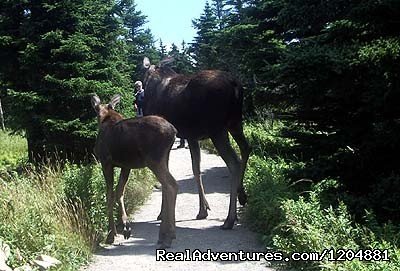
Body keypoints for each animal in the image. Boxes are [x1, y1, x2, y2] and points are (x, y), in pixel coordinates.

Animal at [91, 94, 179, 249]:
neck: (105, 117)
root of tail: (173, 132)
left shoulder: (106, 162)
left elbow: (109, 195)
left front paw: (111, 235)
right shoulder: (126, 165)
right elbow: (120, 191)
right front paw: (125, 228)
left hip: (154, 160)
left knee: (171, 185)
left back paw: (169, 236)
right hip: (165, 158)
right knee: (166, 187)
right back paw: (163, 235)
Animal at [143, 56, 250, 230]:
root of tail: (236, 85)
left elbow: (165, 175)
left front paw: (162, 213)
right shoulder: (192, 137)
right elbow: (196, 169)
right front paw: (203, 209)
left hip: (218, 130)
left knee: (234, 162)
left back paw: (230, 218)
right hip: (235, 123)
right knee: (246, 148)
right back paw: (242, 195)